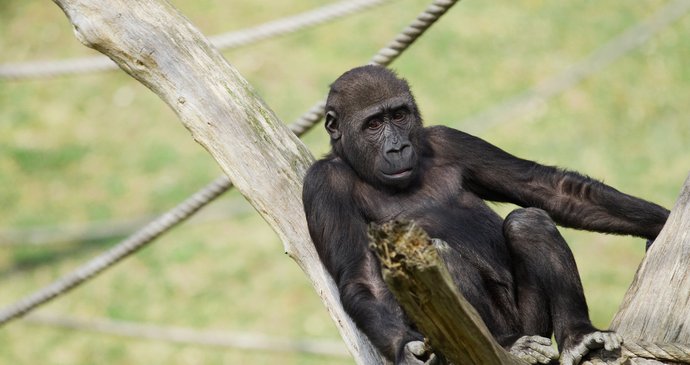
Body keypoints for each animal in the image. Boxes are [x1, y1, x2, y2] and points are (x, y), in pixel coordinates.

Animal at [300, 65, 668, 364]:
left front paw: (662, 222)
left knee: (528, 222)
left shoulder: (448, 140)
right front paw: (404, 346)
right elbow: (363, 279)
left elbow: (548, 187)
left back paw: (578, 335)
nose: (398, 148)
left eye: (399, 116)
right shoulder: (323, 186)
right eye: (373, 124)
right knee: (440, 254)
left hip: (533, 325)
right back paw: (508, 343)